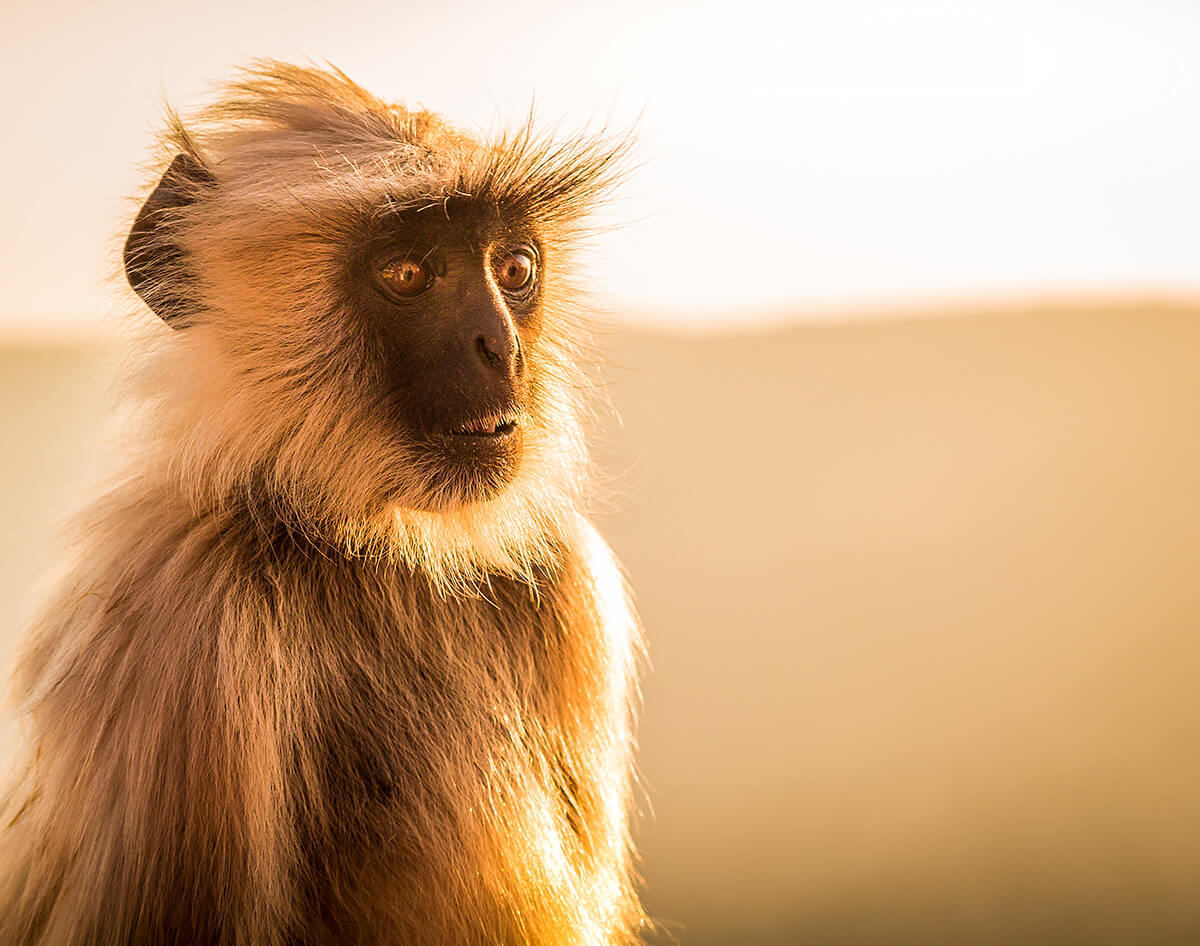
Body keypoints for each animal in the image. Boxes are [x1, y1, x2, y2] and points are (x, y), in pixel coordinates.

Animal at [0, 62, 648, 941]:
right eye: (407, 275)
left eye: (514, 269)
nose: (503, 348)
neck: (379, 551)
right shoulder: (189, 626)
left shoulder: (566, 575)